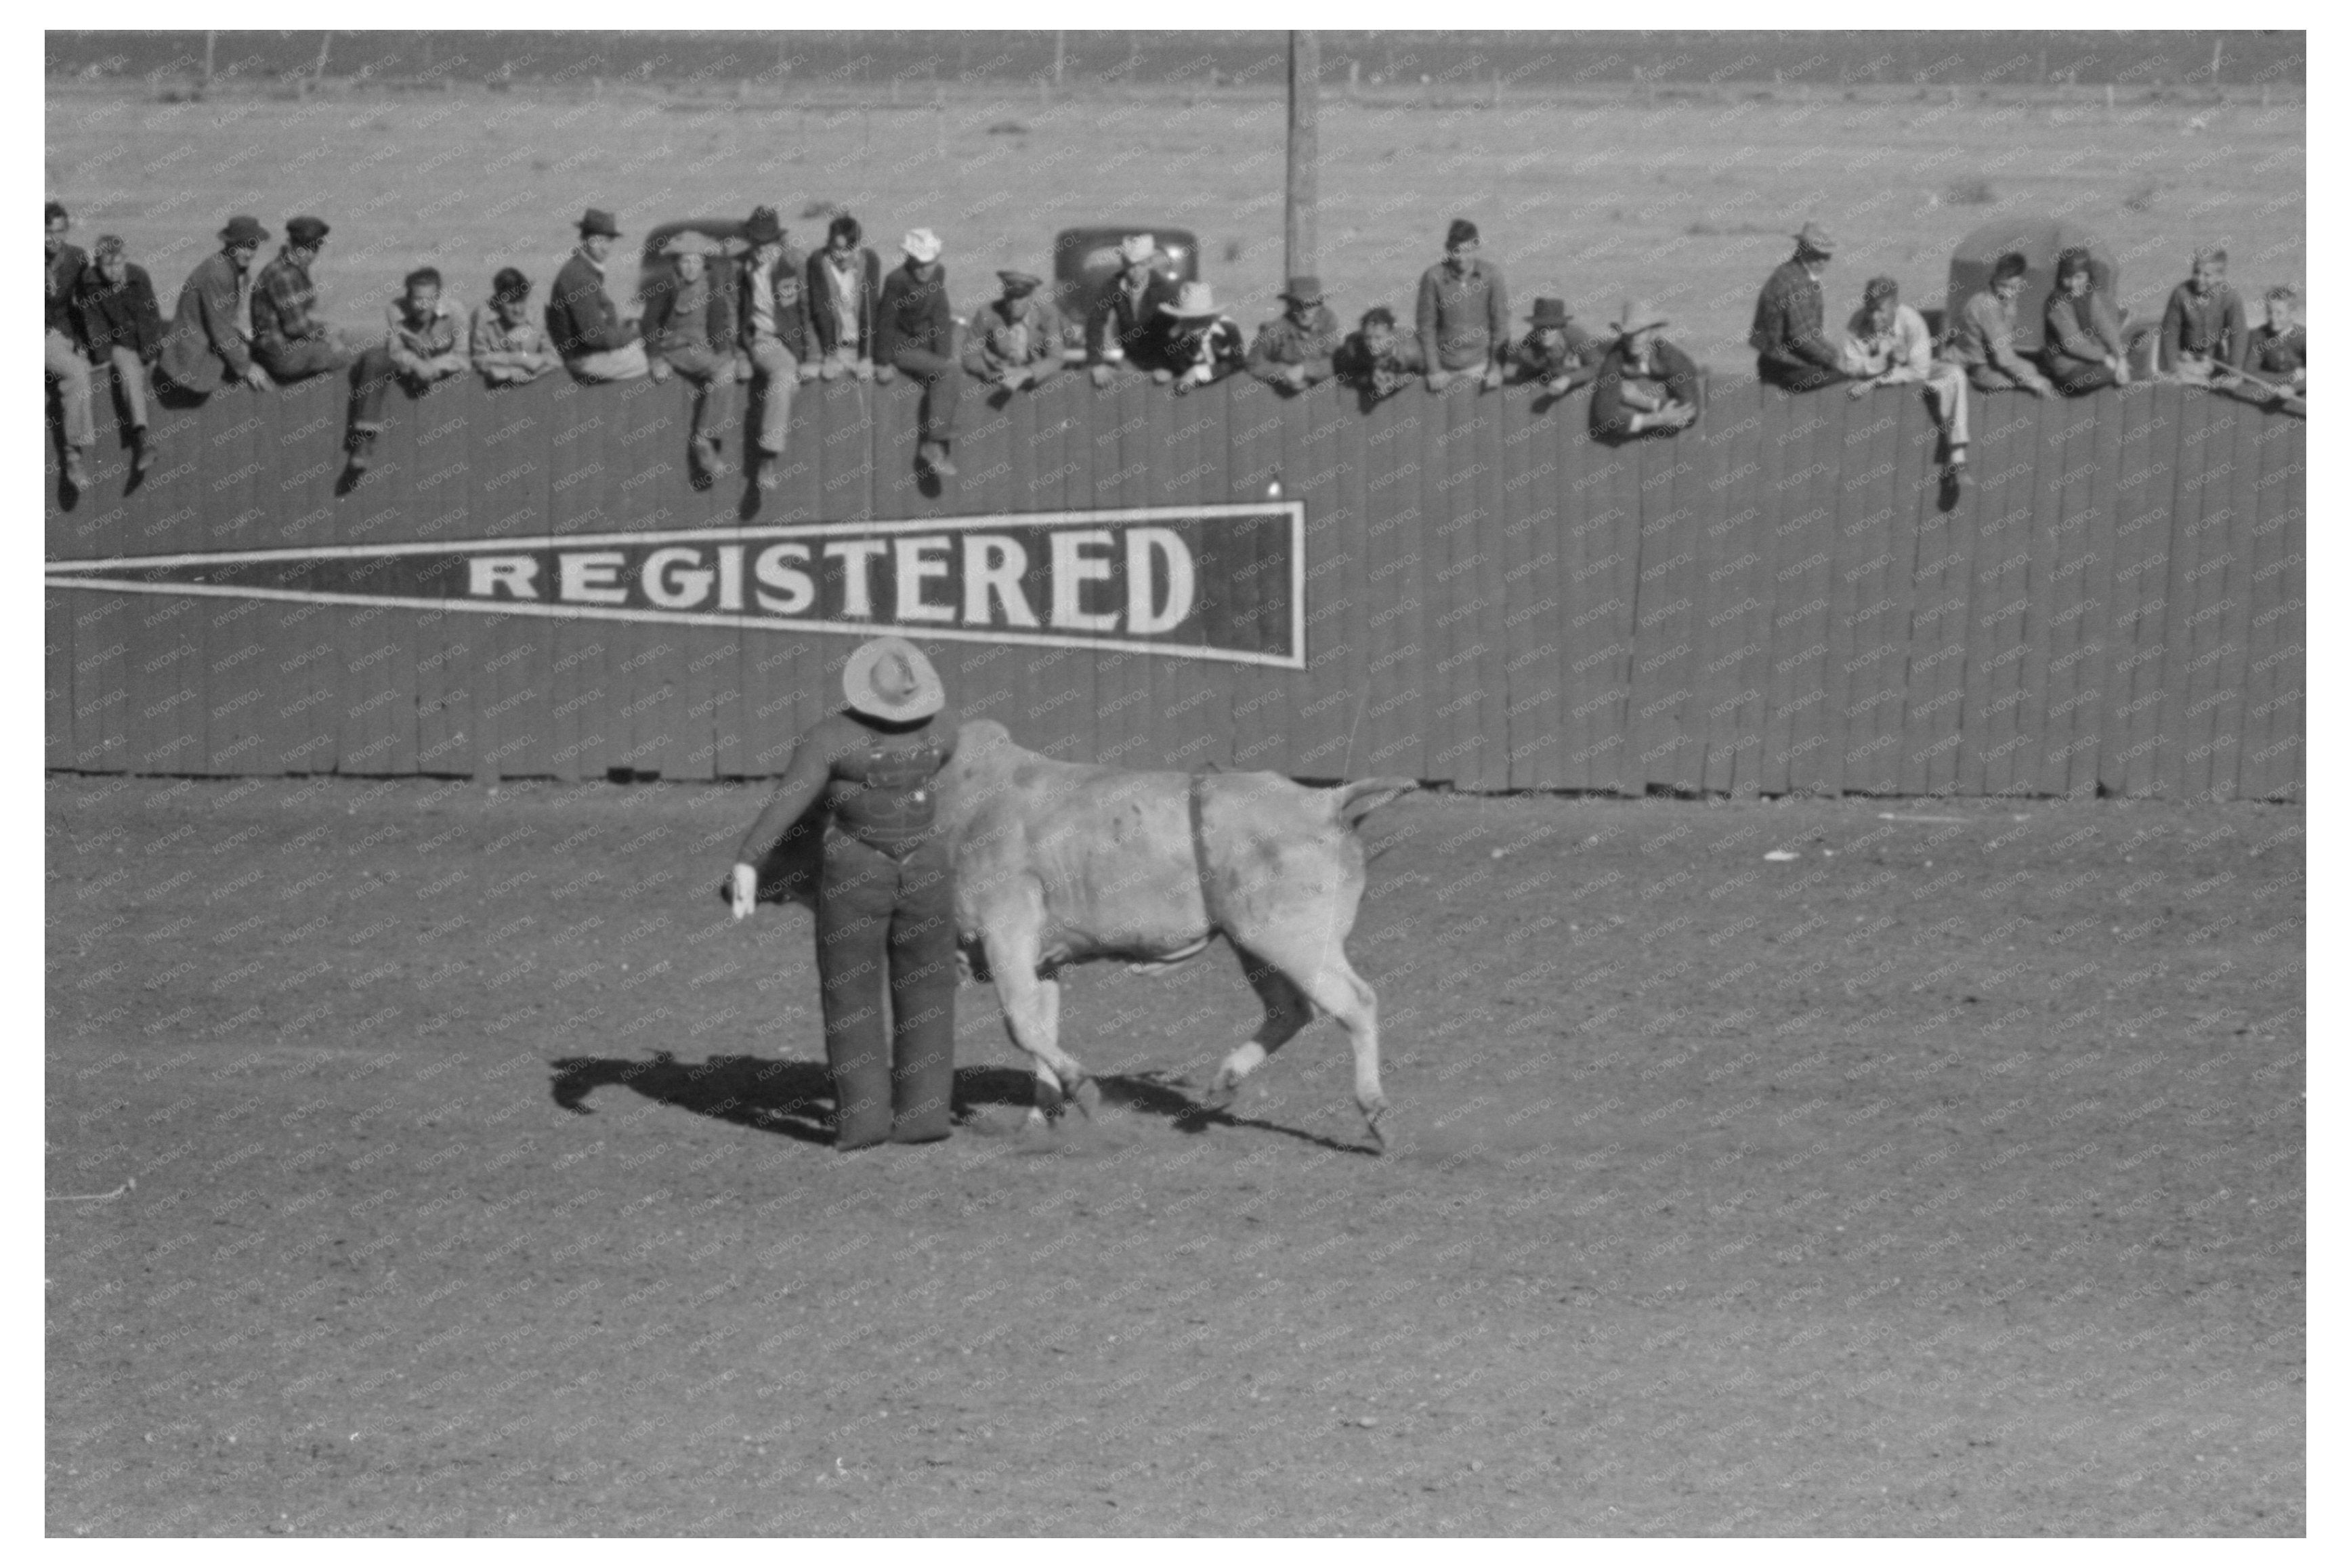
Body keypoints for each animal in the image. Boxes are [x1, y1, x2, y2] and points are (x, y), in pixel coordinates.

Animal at [752, 723, 1410, 1151]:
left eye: (805, 812)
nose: (751, 872)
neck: (958, 805)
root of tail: (1326, 801)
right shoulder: (1041, 957)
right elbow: (1041, 1023)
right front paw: (1041, 1115)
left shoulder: (1005, 929)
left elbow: (1021, 1023)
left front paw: (1082, 1091)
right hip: (1257, 945)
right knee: (1289, 1009)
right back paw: (1225, 1080)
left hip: (1293, 939)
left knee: (1355, 1003)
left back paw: (1375, 1113)